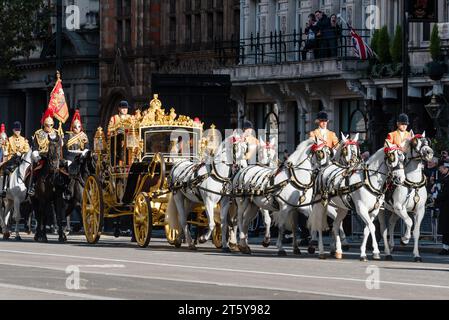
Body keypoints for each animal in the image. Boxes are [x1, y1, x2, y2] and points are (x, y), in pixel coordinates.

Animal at [378, 131, 434, 262]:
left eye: (427, 141)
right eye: (415, 143)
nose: (429, 153)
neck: (413, 183)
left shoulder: (420, 210)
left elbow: (417, 232)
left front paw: (416, 255)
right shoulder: (400, 207)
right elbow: (409, 222)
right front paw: (404, 239)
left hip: (394, 211)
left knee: (391, 223)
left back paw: (392, 245)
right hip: (383, 210)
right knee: (384, 229)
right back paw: (388, 252)